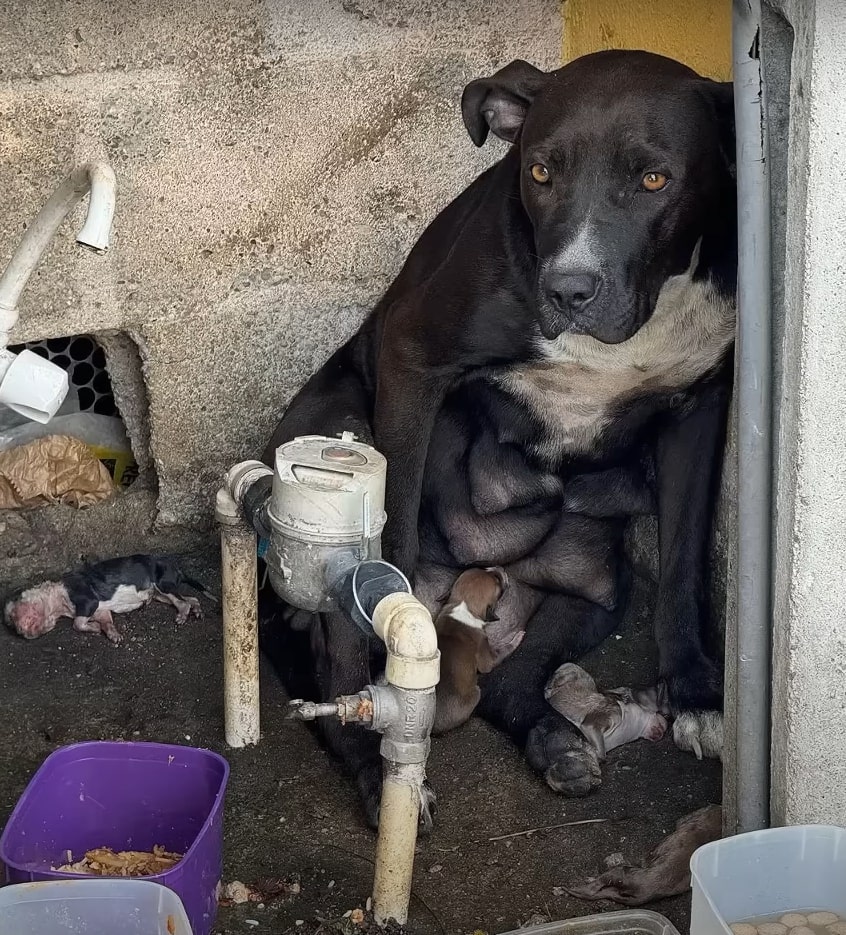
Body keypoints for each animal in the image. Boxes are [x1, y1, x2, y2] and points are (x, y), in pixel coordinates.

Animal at [434, 568, 512, 736]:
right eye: (497, 580)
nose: (499, 567)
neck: (465, 606)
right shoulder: (486, 655)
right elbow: (502, 651)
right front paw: (518, 637)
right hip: (476, 692)